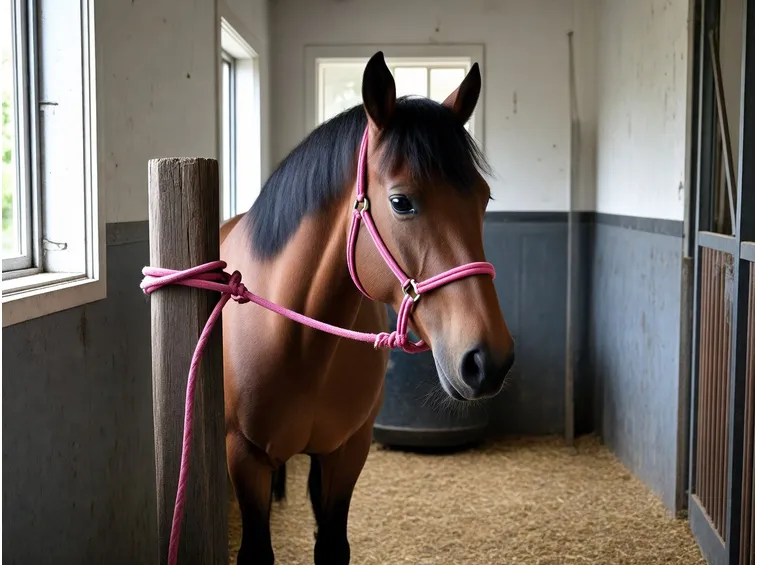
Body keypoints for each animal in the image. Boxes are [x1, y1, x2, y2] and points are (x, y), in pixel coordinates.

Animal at [219, 51, 515, 564]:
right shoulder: (246, 457)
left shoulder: (346, 453)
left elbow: (332, 545)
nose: (488, 360)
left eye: (484, 199)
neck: (297, 340)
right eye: (401, 202)